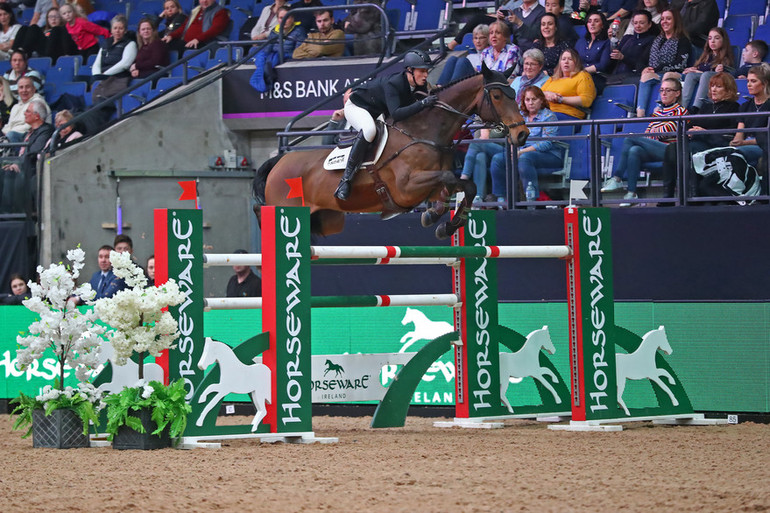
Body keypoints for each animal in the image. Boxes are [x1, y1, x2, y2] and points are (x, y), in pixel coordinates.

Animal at [252, 63, 528, 238]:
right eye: (496, 95)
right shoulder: (406, 187)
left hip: (328, 221)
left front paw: (439, 221)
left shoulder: (429, 185)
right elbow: (451, 179)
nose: (522, 133)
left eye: (514, 93)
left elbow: (464, 186)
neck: (425, 133)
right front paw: (436, 218)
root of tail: (278, 163)